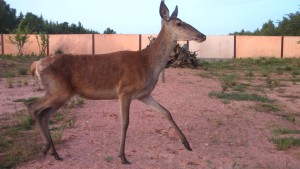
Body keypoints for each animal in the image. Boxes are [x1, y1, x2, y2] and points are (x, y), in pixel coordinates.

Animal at [25, 1, 206, 164]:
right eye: (179, 23)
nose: (202, 35)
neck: (147, 64)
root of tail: (36, 65)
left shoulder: (144, 94)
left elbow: (166, 112)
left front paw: (187, 144)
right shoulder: (124, 91)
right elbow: (125, 123)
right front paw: (123, 157)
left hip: (61, 94)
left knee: (43, 115)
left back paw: (54, 152)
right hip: (57, 90)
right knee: (32, 107)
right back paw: (46, 147)